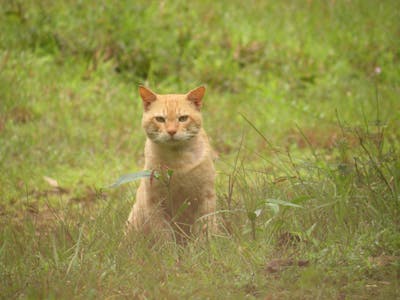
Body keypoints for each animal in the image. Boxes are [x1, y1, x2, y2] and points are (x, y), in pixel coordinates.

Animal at [127, 85, 216, 240]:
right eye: (160, 119)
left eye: (183, 118)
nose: (172, 131)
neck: (178, 162)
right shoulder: (155, 203)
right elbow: (164, 236)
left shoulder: (206, 197)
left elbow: (206, 230)